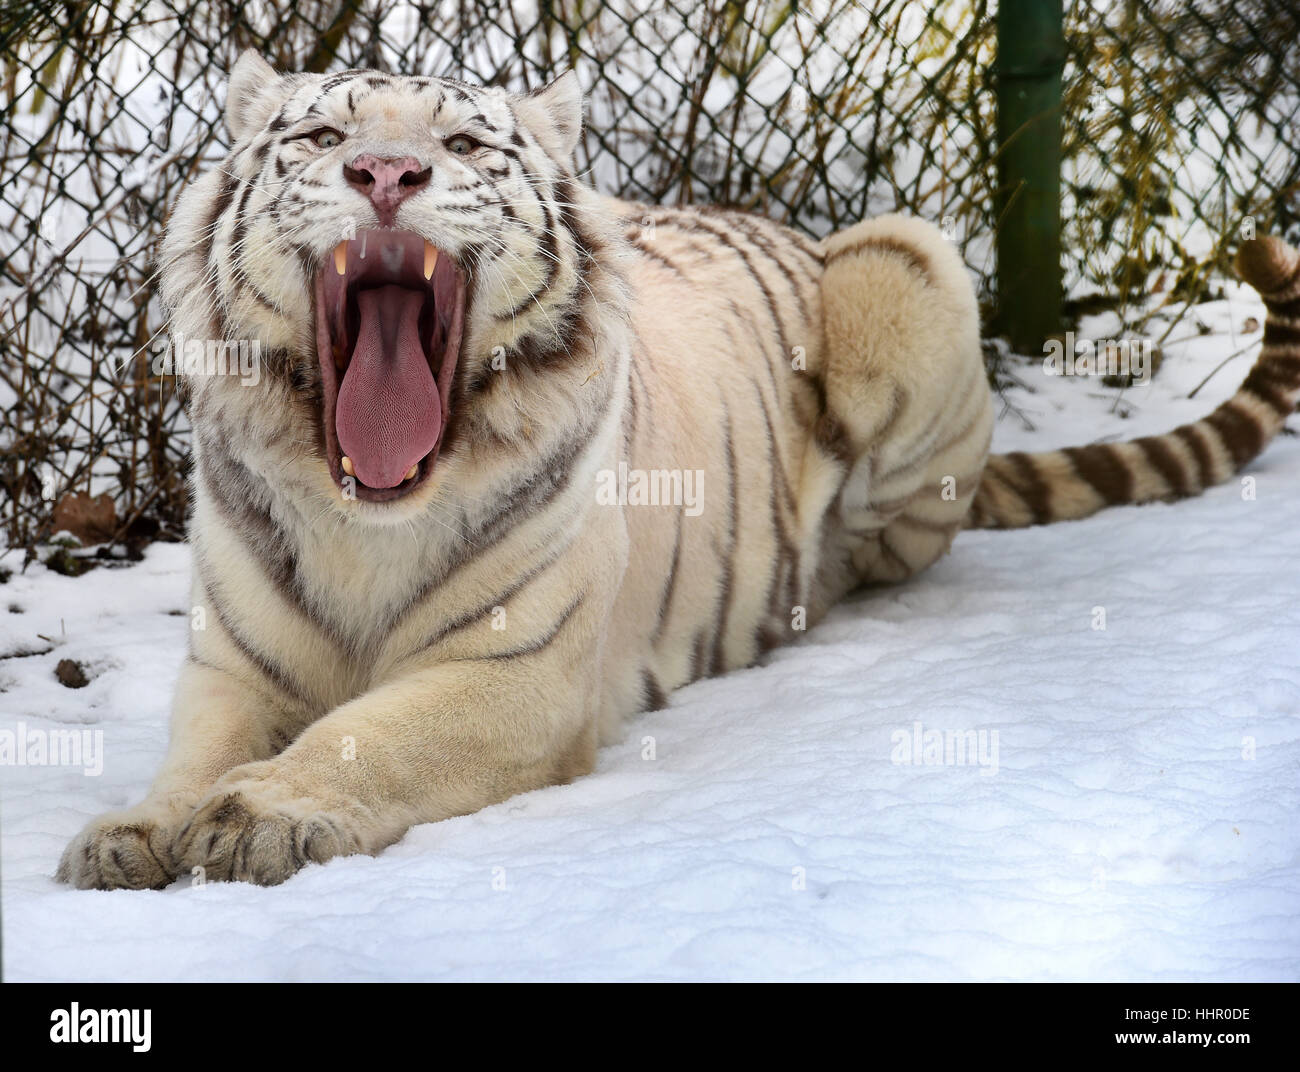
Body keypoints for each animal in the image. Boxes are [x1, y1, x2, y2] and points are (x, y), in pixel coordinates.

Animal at [58, 50, 1300, 888]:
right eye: (321, 138)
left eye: (464, 146)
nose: (386, 172)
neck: (364, 509)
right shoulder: (234, 665)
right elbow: (194, 753)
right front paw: (135, 829)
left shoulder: (517, 672)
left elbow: (367, 733)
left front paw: (262, 813)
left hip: (908, 258)